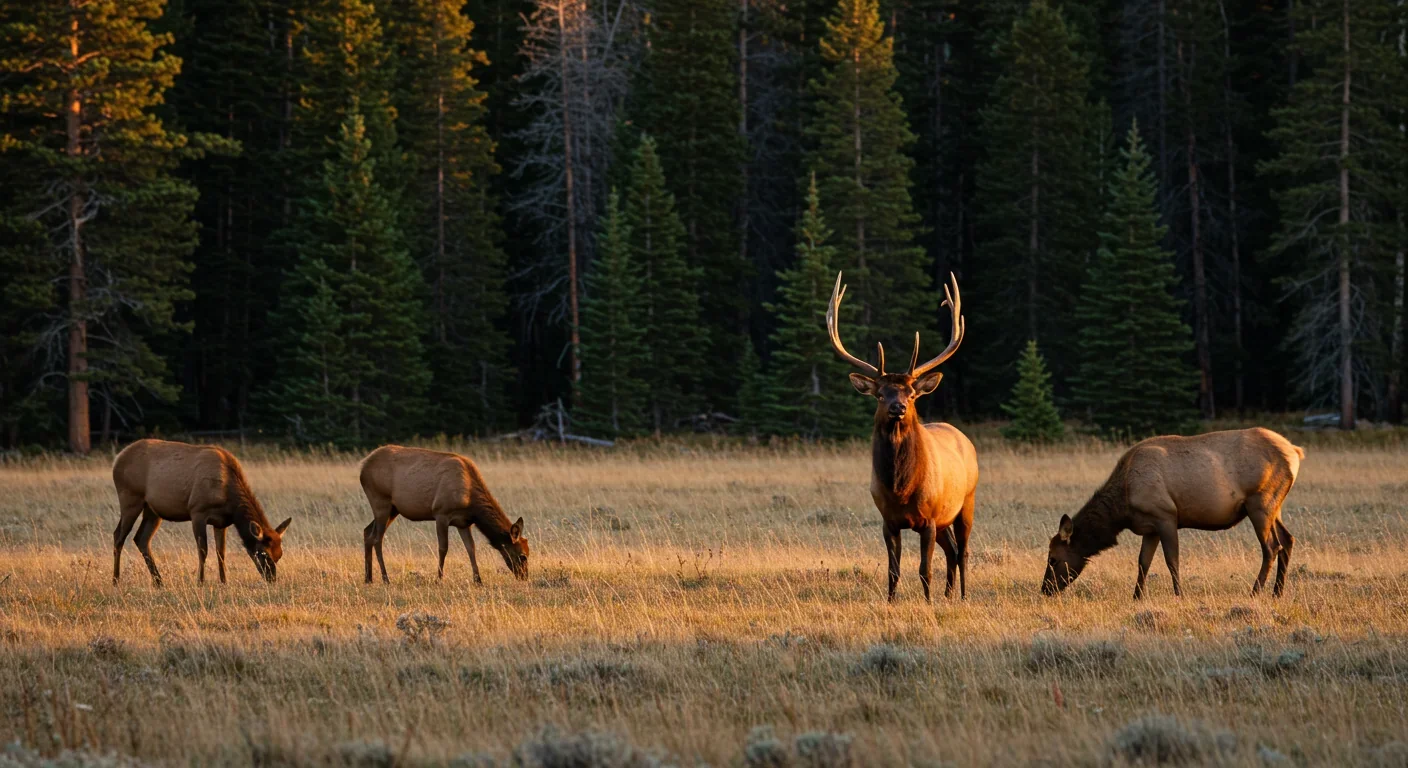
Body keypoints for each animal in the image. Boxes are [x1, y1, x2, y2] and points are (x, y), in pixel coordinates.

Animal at [111, 439, 292, 585]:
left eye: (279, 554)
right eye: (263, 554)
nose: (271, 579)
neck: (229, 500)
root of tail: (117, 459)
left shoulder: (222, 522)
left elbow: (221, 552)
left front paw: (224, 581)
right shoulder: (197, 511)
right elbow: (203, 550)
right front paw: (200, 581)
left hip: (153, 510)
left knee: (141, 538)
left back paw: (159, 582)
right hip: (130, 497)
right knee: (118, 535)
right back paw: (116, 580)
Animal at [358, 445, 530, 584]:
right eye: (523, 555)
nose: (524, 577)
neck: (471, 503)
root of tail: (362, 467)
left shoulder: (464, 522)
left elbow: (471, 548)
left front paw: (478, 580)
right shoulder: (441, 513)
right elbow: (443, 548)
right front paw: (439, 578)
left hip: (393, 509)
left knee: (367, 531)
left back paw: (368, 578)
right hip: (380, 500)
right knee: (377, 539)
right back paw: (385, 578)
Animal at [827, 271, 980, 602]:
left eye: (911, 394)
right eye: (880, 394)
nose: (897, 407)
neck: (901, 488)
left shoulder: (929, 519)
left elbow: (925, 570)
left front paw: (927, 603)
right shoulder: (888, 521)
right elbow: (893, 570)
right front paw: (891, 602)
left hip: (967, 501)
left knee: (962, 551)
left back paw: (961, 596)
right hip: (946, 517)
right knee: (951, 550)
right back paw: (948, 595)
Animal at [1041, 428, 1306, 599]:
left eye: (1053, 558)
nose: (1045, 589)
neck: (1122, 507)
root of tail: (1295, 451)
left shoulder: (1166, 516)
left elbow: (1171, 560)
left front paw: (1179, 595)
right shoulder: (1149, 528)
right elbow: (1143, 562)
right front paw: (1137, 597)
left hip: (1259, 502)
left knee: (1271, 547)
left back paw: (1255, 592)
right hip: (1274, 505)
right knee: (1288, 540)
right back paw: (1277, 593)